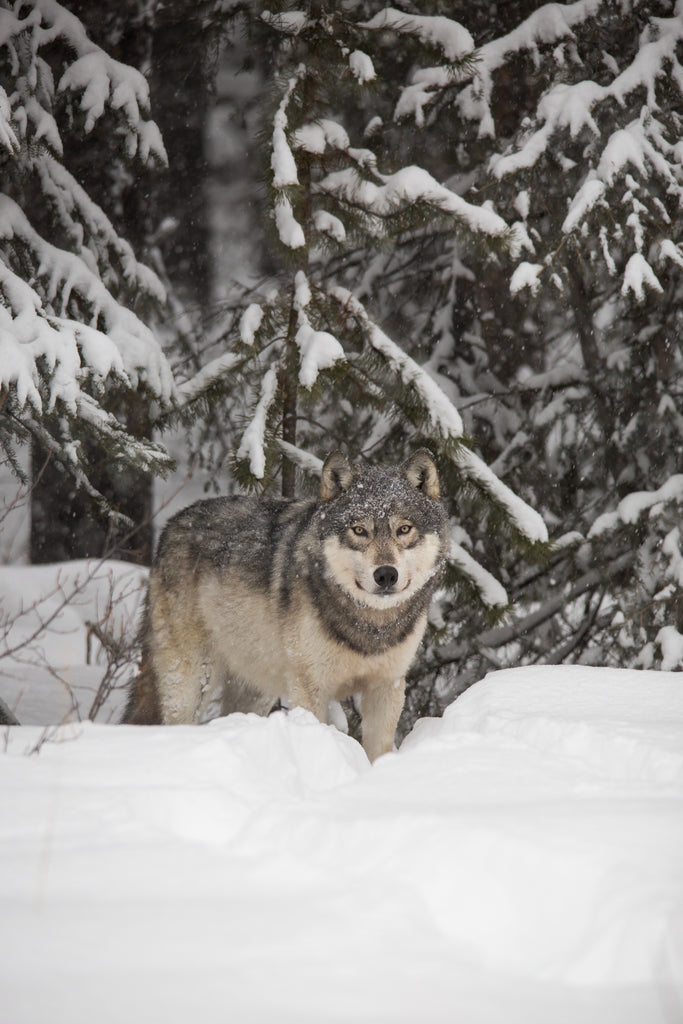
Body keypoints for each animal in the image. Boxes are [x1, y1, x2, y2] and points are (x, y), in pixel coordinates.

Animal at [122, 450, 449, 761]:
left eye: (404, 529)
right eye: (359, 530)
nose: (385, 574)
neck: (370, 626)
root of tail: (171, 526)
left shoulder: (387, 687)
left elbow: (378, 751)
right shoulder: (310, 688)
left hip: (255, 686)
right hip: (192, 680)